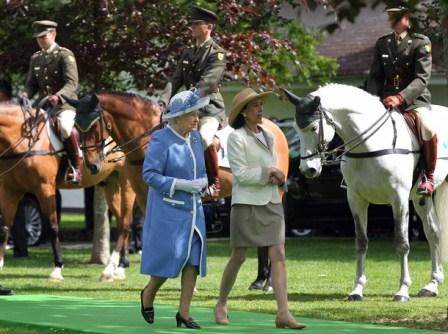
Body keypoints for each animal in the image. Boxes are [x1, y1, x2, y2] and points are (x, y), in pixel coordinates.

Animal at [0, 103, 135, 284]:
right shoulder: (10, 191)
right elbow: (5, 227)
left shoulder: (45, 188)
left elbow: (53, 227)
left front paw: (57, 269)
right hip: (110, 184)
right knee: (122, 221)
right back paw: (120, 266)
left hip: (127, 183)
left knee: (126, 223)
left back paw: (113, 269)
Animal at [65, 91, 290, 210]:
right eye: (75, 125)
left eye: (94, 125)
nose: (92, 165)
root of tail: (276, 127)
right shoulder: (143, 196)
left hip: (276, 191)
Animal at [284, 83, 448, 300]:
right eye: (296, 128)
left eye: (313, 128)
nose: (307, 170)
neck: (369, 146)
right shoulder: (356, 199)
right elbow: (361, 242)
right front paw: (357, 289)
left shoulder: (399, 199)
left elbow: (402, 242)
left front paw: (402, 290)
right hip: (422, 198)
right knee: (433, 231)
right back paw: (432, 285)